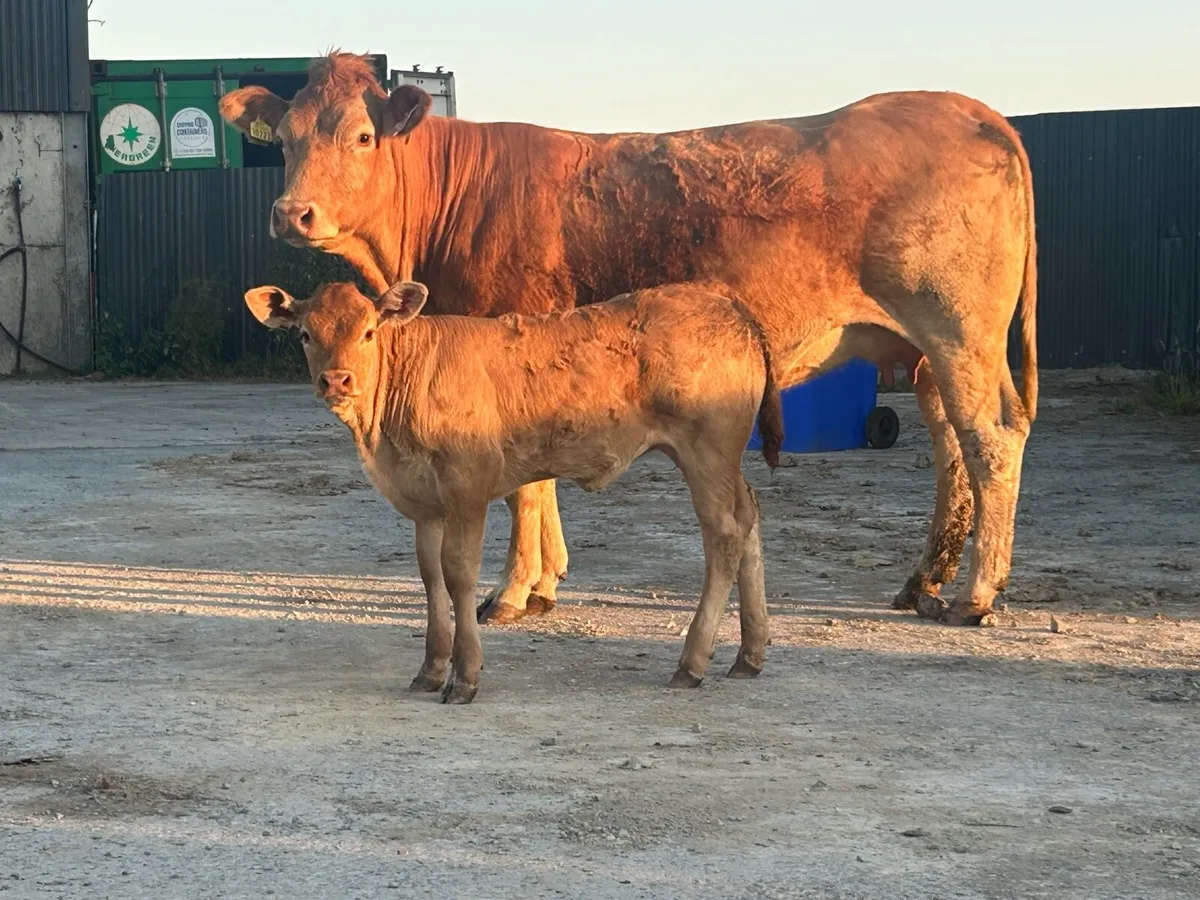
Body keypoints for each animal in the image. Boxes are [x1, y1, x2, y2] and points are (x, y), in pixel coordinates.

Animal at [220, 52, 1038, 630]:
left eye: (362, 136)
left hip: (958, 331)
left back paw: (976, 594)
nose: (293, 213)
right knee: (952, 447)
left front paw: (512, 591)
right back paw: (923, 581)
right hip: (927, 352)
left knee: (990, 437)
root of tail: (967, 108)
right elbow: (538, 478)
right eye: (284, 139)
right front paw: (545, 581)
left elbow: (526, 485)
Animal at [243, 278, 784, 704]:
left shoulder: (467, 484)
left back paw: (691, 662)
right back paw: (749, 653)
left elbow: (458, 573)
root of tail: (727, 305)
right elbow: (429, 577)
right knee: (750, 514)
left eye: (368, 331)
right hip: (721, 458)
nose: (336, 380)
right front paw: (430, 670)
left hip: (706, 449)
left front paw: (464, 676)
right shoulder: (424, 503)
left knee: (724, 533)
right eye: (306, 334)